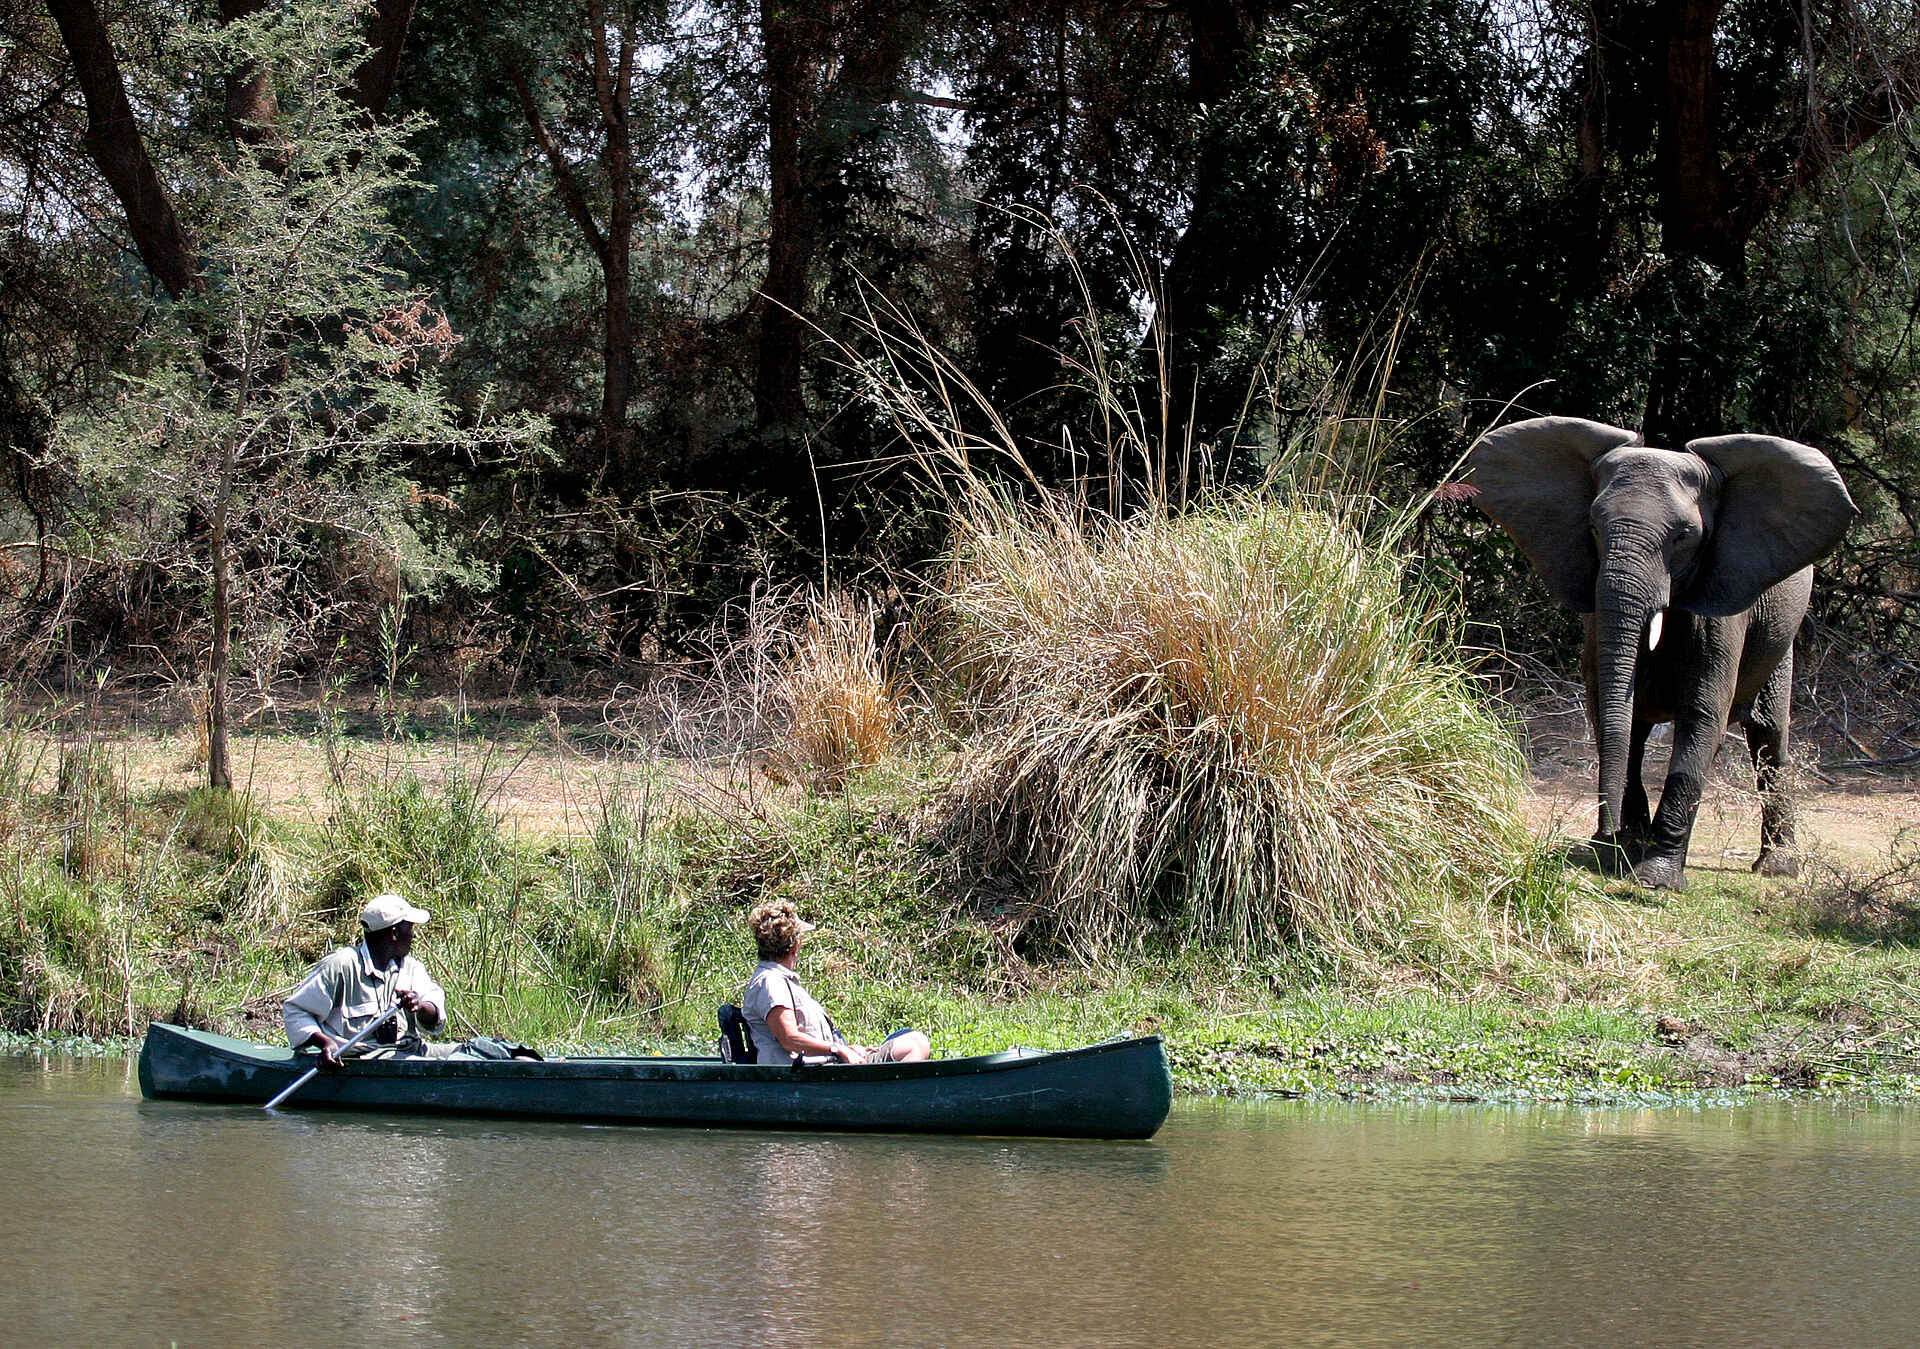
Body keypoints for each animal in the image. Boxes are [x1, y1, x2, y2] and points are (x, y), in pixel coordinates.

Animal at [1466, 416, 1856, 890]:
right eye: (1593, 527)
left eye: (1685, 537)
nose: (1604, 837)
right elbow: (1611, 710)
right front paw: (1622, 850)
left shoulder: (1723, 603)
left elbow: (1703, 715)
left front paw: (1654, 878)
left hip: (1781, 639)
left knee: (1769, 738)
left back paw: (1777, 867)